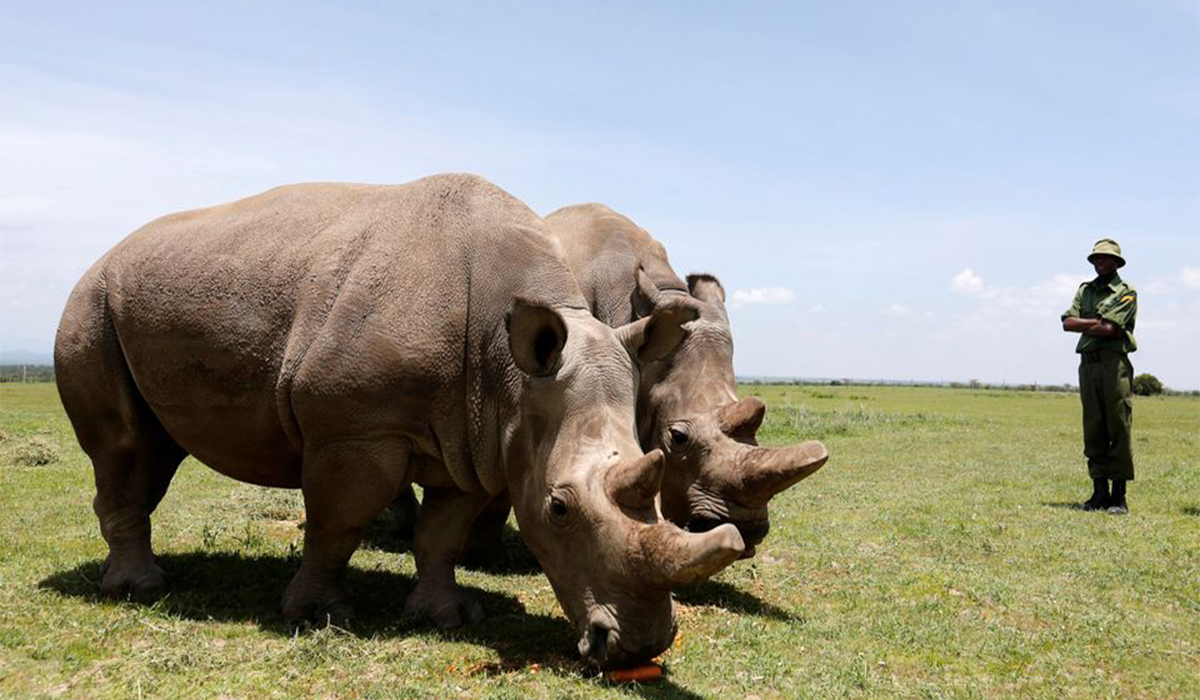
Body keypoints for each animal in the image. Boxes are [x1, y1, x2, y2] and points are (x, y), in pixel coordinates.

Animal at [54, 174, 745, 668]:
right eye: (558, 508)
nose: (639, 648)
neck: (513, 371)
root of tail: (106, 253)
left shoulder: (481, 437)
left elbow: (442, 534)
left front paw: (446, 616)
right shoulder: (354, 426)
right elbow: (338, 522)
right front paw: (322, 616)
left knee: (155, 449)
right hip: (91, 300)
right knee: (122, 447)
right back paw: (140, 589)